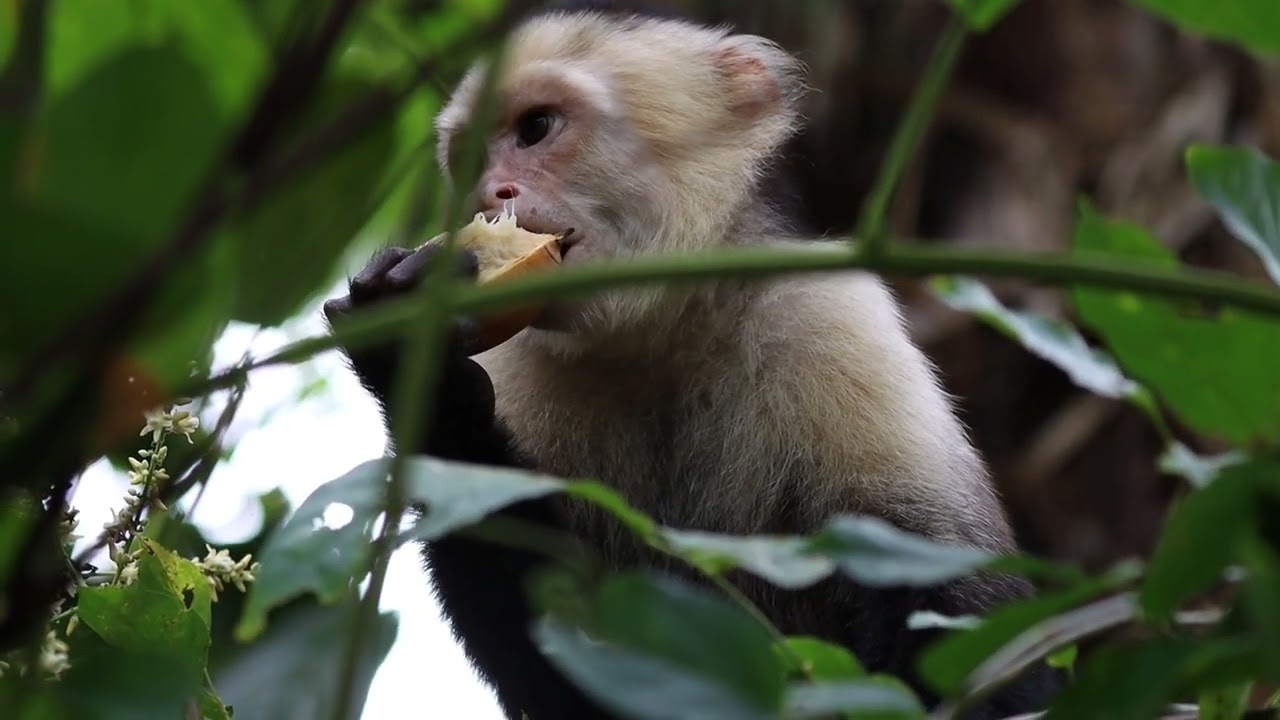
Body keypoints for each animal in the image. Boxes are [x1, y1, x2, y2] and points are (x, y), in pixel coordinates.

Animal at [322, 2, 1062, 718]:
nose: (488, 194)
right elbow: (569, 668)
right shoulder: (522, 368)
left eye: (535, 129)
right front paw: (416, 364)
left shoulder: (827, 315)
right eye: (472, 160)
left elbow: (953, 619)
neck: (660, 327)